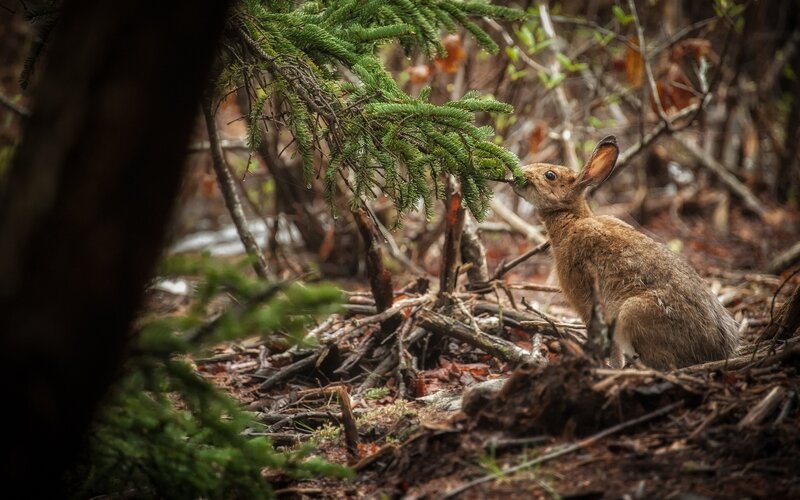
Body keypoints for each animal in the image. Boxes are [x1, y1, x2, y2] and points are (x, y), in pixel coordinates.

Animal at [513, 135, 738, 369]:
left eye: (550, 175)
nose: (518, 174)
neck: (572, 219)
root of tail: (715, 350)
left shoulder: (587, 301)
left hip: (633, 314)